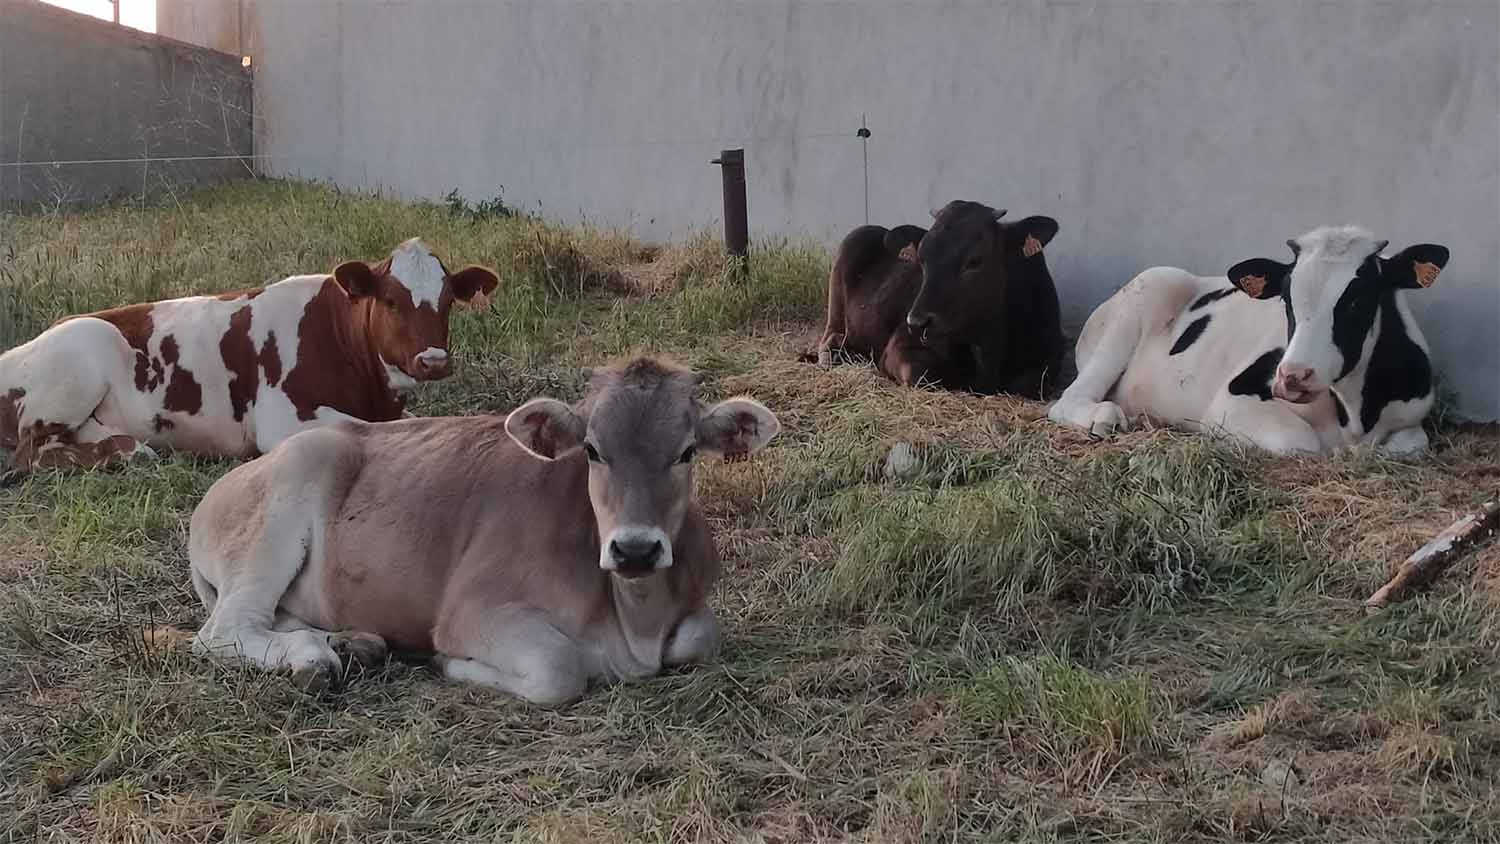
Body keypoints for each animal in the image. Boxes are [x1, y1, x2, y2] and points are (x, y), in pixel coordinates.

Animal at [0, 238, 499, 481]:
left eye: (449, 301)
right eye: (392, 301)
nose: (434, 360)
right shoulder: (282, 417)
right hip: (87, 347)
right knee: (29, 456)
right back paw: (134, 452)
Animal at [184, 356, 780, 704]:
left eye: (686, 452)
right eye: (592, 450)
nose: (635, 549)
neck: (637, 621)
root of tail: (215, 494)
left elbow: (701, 637)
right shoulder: (472, 610)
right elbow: (559, 670)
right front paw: (453, 665)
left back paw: (354, 644)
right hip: (294, 484)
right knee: (225, 630)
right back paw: (313, 660)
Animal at [811, 200, 1066, 398]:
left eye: (975, 260)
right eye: (922, 259)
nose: (917, 322)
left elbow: (1029, 383)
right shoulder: (899, 345)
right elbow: (918, 373)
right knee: (830, 337)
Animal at [1047, 226, 1449, 455]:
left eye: (1358, 299)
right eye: (1287, 298)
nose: (1293, 376)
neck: (1354, 415)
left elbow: (1410, 444)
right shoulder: (1229, 404)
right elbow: (1301, 442)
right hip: (1145, 294)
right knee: (1068, 400)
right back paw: (1103, 416)